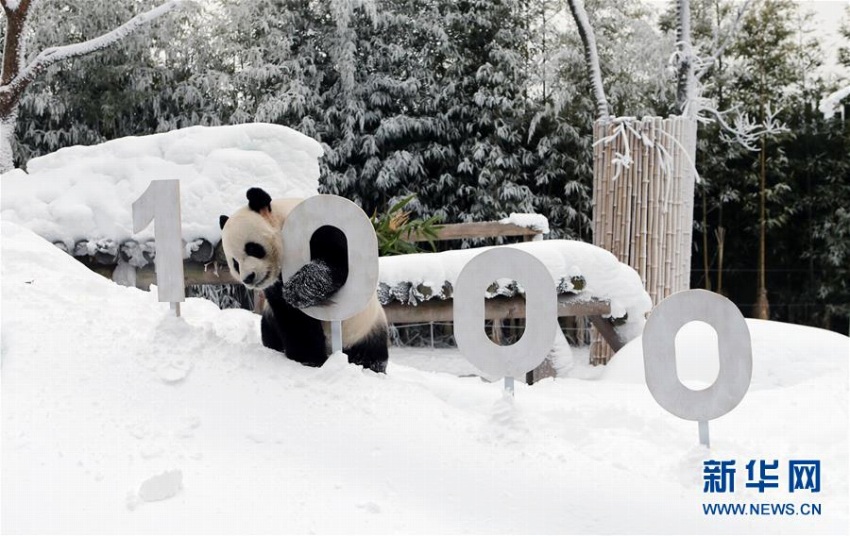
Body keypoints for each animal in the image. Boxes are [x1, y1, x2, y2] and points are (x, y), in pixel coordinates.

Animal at [220, 188, 390, 372]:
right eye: (235, 263)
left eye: (252, 248)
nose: (248, 278)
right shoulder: (274, 291)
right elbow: (293, 319)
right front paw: (308, 359)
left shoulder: (320, 229)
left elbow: (334, 261)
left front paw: (298, 290)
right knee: (269, 333)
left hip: (365, 327)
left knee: (371, 352)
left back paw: (368, 364)